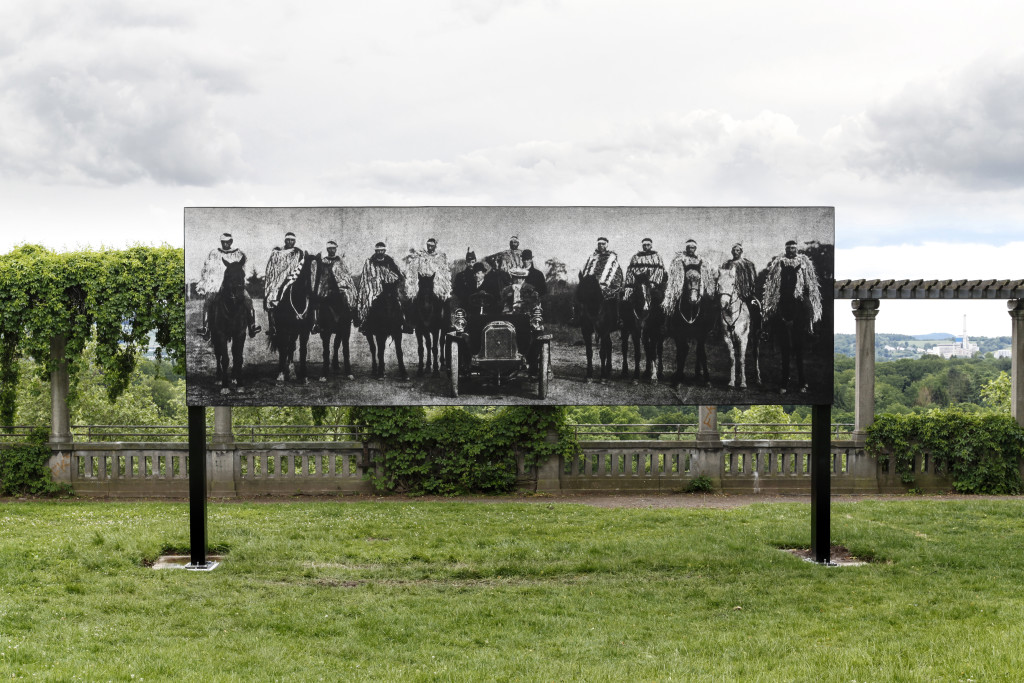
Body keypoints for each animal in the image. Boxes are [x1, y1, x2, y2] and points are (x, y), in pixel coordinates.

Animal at [206, 259, 248, 393]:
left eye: (243, 274)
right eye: (228, 275)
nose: (239, 296)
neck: (232, 309)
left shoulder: (240, 334)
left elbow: (238, 358)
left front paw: (240, 384)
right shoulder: (221, 335)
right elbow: (224, 359)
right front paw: (225, 386)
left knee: (234, 354)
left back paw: (233, 377)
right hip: (214, 336)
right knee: (218, 355)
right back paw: (219, 378)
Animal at [266, 254, 313, 385]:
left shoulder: (304, 331)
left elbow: (302, 350)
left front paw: (304, 377)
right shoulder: (283, 330)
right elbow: (283, 349)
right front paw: (281, 375)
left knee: (291, 347)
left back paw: (292, 372)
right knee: (286, 347)